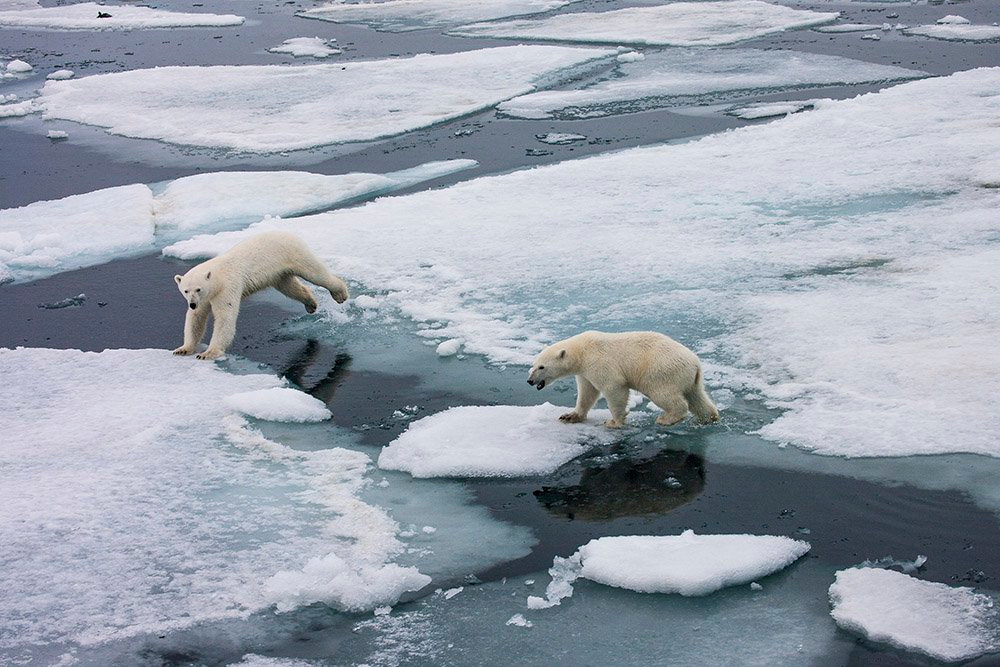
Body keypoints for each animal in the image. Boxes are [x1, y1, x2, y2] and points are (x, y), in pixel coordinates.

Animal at [176, 232, 352, 362]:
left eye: (198, 289)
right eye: (186, 291)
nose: (192, 304)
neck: (218, 275)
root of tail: (288, 233)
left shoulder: (227, 287)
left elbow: (225, 318)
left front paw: (207, 353)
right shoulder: (206, 298)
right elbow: (196, 319)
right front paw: (182, 349)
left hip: (293, 254)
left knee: (316, 273)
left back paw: (341, 294)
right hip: (279, 273)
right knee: (290, 288)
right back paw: (311, 304)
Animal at [524, 332, 720, 430]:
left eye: (542, 367)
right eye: (533, 365)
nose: (530, 381)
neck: (581, 351)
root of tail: (695, 364)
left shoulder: (598, 362)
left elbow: (614, 388)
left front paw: (613, 422)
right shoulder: (584, 372)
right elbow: (587, 393)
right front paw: (570, 416)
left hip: (661, 372)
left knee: (666, 396)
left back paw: (665, 419)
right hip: (690, 379)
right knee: (697, 397)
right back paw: (708, 418)